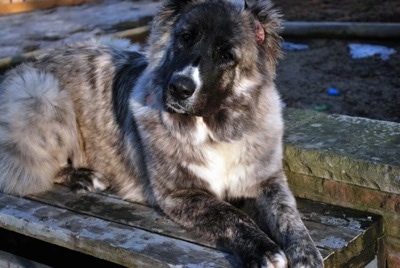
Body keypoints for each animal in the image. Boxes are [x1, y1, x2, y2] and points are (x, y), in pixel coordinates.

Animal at [0, 1, 324, 266]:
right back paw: (82, 176)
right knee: (29, 169)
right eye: (185, 37)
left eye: (226, 54)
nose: (180, 88)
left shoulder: (266, 180)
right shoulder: (179, 193)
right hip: (42, 93)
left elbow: (288, 214)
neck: (211, 129)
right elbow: (231, 214)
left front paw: (305, 252)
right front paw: (264, 249)